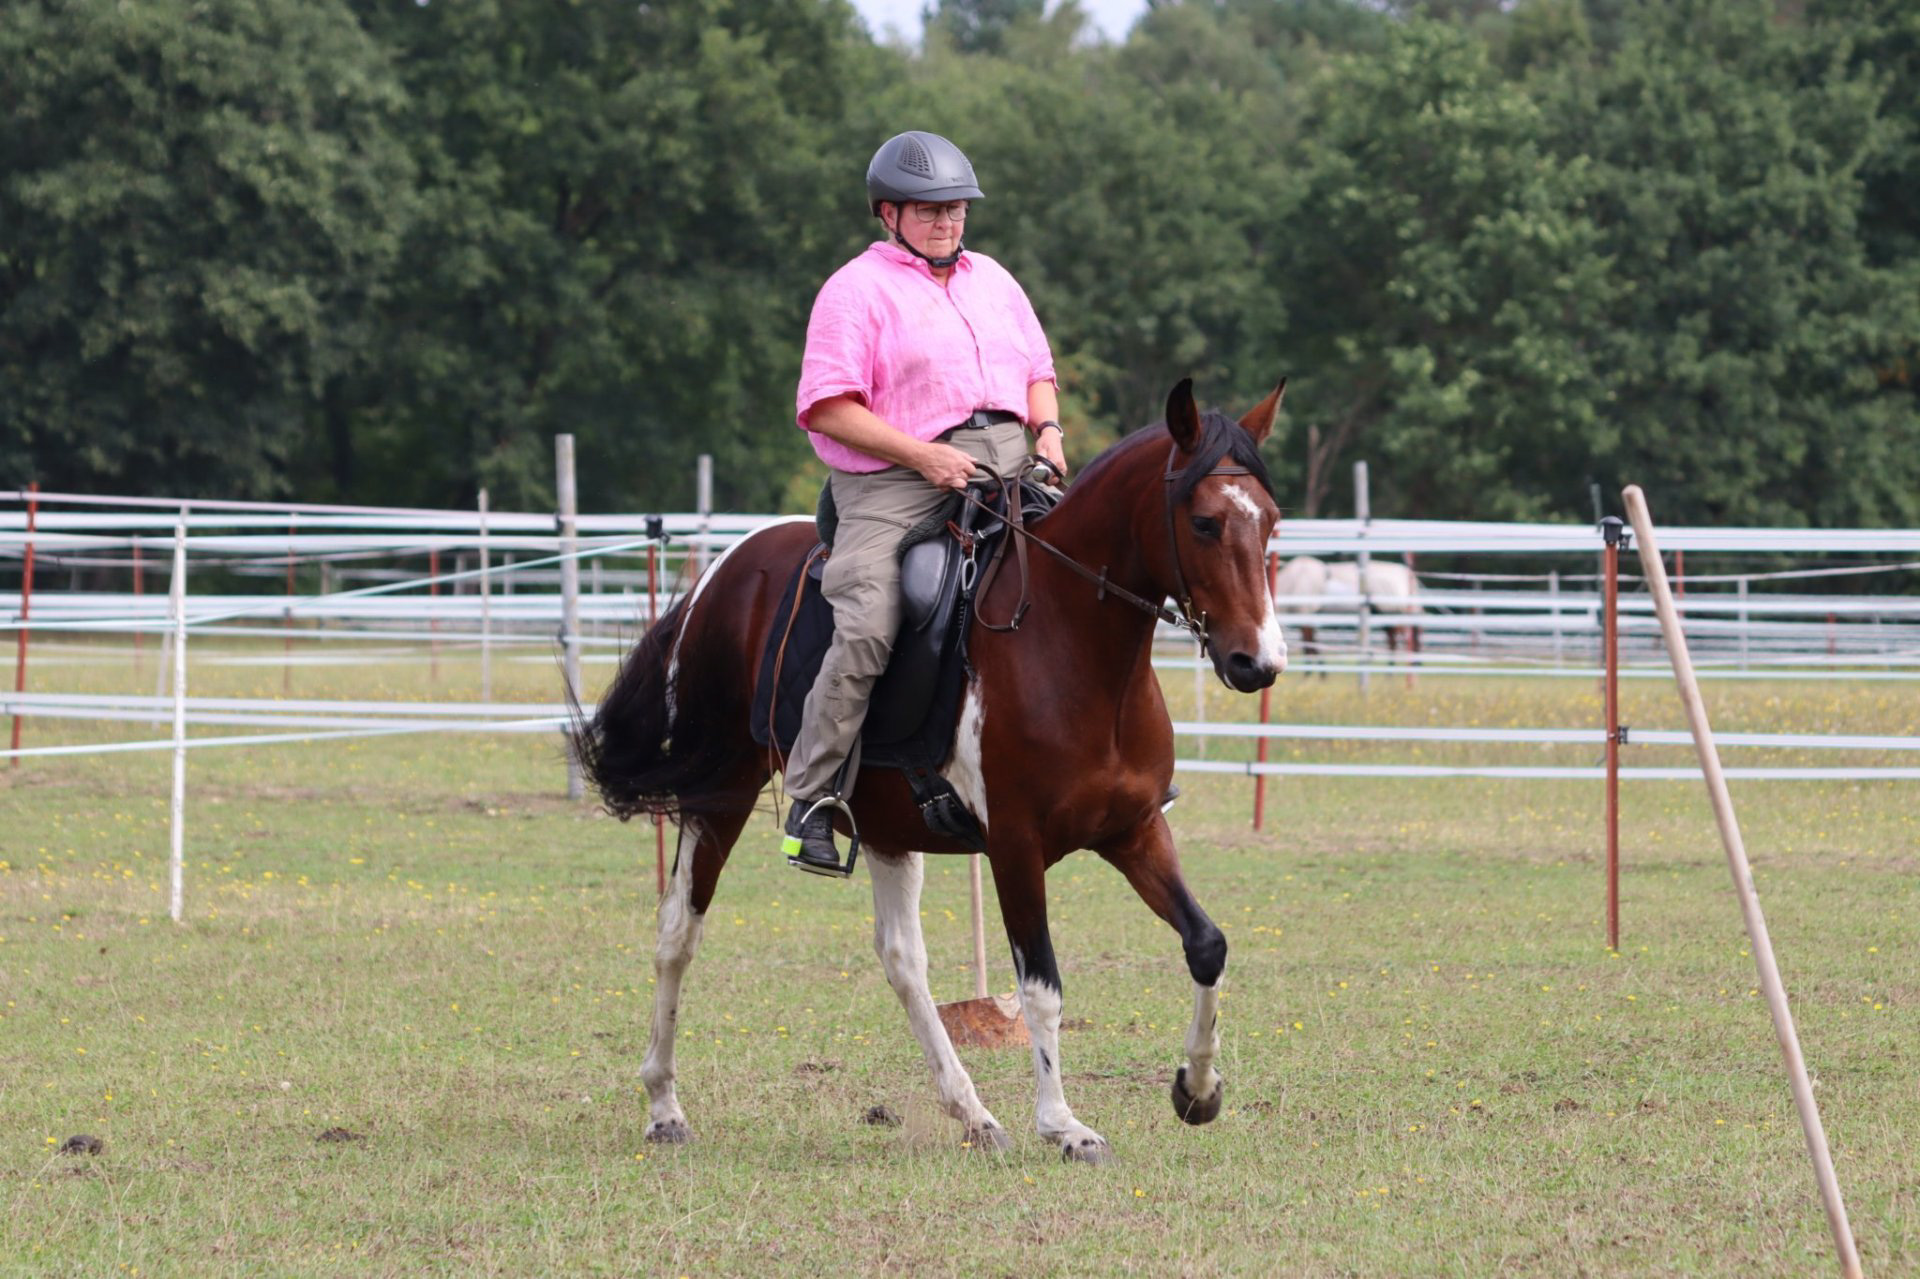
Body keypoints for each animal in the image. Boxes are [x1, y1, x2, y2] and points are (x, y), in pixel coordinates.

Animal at [568, 376, 1290, 1152]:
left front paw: (1197, 1089)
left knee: (901, 959)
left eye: (1272, 521)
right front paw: (1062, 1124)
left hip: (884, 822)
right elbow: (1041, 986)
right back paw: (664, 1106)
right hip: (721, 791)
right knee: (679, 932)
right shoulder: (1014, 846)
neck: (1072, 645)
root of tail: (725, 571)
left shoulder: (1134, 830)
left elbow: (1206, 943)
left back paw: (973, 1113)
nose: (1258, 663)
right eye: (1205, 522)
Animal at [1274, 556, 1428, 675]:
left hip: (1391, 612)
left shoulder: (1307, 616)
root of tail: (1405, 574)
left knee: (1402, 640)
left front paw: (1312, 675)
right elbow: (1312, 645)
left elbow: (1310, 647)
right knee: (1395, 641)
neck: (1294, 581)